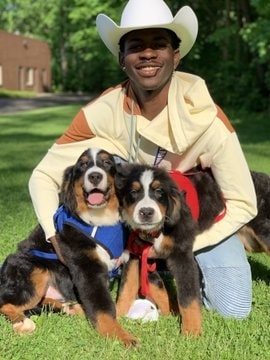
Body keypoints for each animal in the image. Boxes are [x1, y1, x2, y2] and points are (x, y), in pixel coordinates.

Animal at [0, 148, 138, 348]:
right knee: (6, 302)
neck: (101, 219)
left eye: (107, 163)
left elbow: (127, 290)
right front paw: (121, 336)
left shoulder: (129, 256)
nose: (94, 176)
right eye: (83, 165)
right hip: (34, 270)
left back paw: (72, 307)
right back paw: (23, 323)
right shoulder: (88, 269)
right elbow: (103, 307)